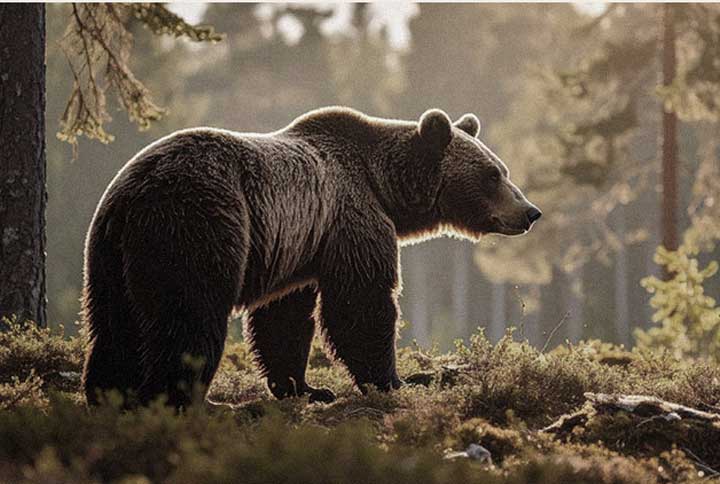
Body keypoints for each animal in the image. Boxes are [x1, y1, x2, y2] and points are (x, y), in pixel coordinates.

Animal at [81, 107, 541, 409]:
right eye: (493, 174)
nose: (530, 212)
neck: (385, 187)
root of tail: (131, 197)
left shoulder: (300, 248)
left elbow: (283, 320)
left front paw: (306, 388)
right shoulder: (351, 216)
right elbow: (362, 304)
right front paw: (400, 380)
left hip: (110, 258)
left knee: (115, 325)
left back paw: (110, 395)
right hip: (196, 225)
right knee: (189, 316)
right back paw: (191, 403)